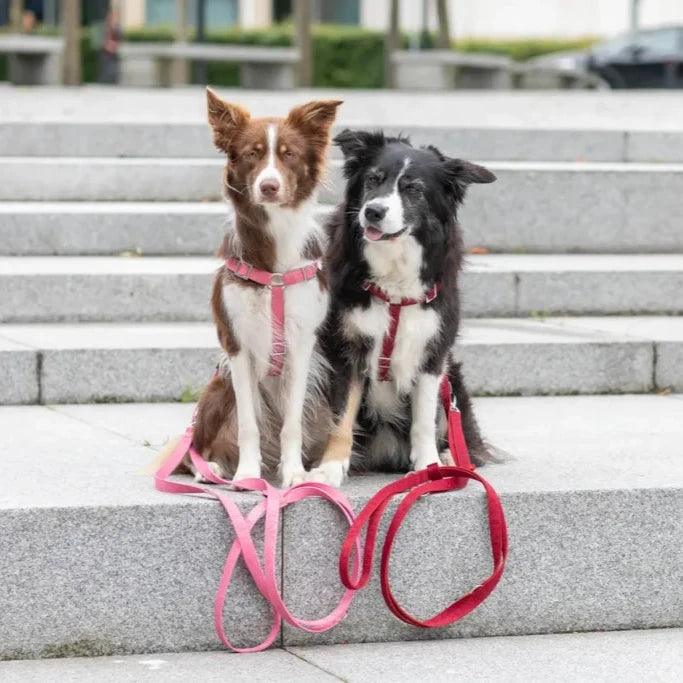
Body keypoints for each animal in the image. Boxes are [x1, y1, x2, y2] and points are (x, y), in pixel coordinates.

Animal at [184, 91, 342, 486]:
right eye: (252, 154)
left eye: (289, 154)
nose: (269, 186)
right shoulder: (236, 342)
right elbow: (247, 424)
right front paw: (246, 475)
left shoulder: (302, 344)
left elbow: (292, 424)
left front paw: (294, 473)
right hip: (216, 390)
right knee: (200, 443)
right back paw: (212, 468)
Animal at [304, 131, 496, 488]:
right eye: (373, 179)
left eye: (414, 189)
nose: (373, 212)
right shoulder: (346, 351)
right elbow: (341, 417)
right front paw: (330, 468)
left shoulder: (433, 353)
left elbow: (424, 419)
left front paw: (429, 468)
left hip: (454, 381)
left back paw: (451, 458)